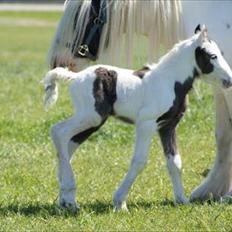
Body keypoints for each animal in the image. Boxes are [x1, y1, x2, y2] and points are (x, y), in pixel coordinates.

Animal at [48, 0, 232, 202]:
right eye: (213, 56)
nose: (229, 80)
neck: (169, 79)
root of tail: (74, 77)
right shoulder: (146, 123)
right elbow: (139, 160)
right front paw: (120, 201)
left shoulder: (167, 126)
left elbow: (175, 161)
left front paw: (182, 200)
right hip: (91, 117)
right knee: (59, 132)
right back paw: (68, 191)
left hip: (93, 120)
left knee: (68, 143)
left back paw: (67, 198)